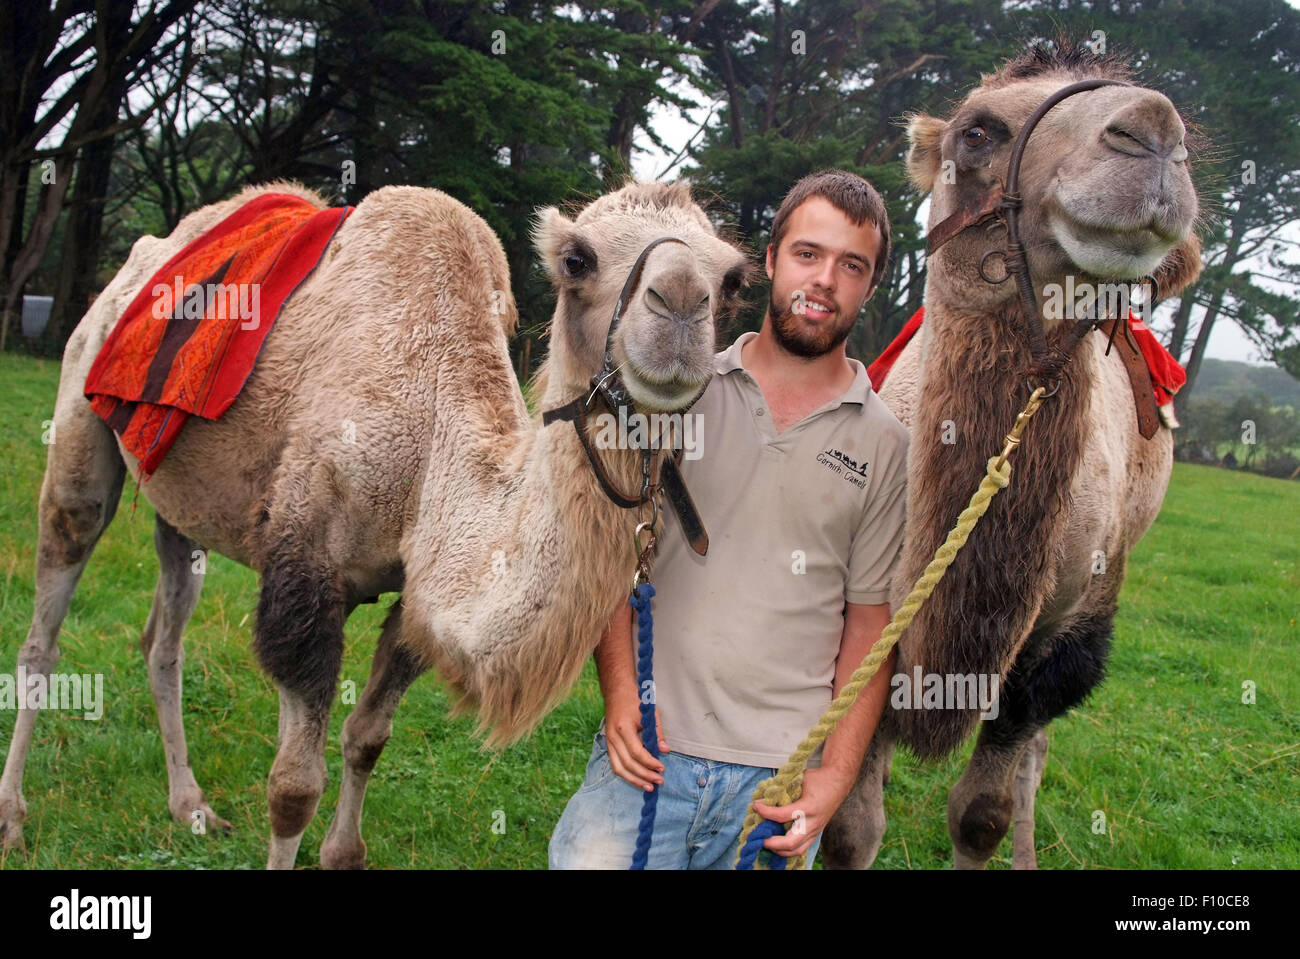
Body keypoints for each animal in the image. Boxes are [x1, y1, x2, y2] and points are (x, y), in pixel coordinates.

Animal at [2, 179, 754, 868]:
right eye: (577, 260)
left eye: (733, 280)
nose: (680, 304)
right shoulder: (306, 566)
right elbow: (293, 787)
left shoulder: (412, 599)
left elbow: (365, 738)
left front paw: (340, 849)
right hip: (80, 420)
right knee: (47, 624)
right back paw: (14, 815)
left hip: (179, 506)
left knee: (164, 636)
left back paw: (190, 806)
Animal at [826, 44, 1201, 868]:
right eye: (977, 132)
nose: (1157, 133)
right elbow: (850, 824)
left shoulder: (1064, 633)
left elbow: (981, 813)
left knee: (1034, 754)